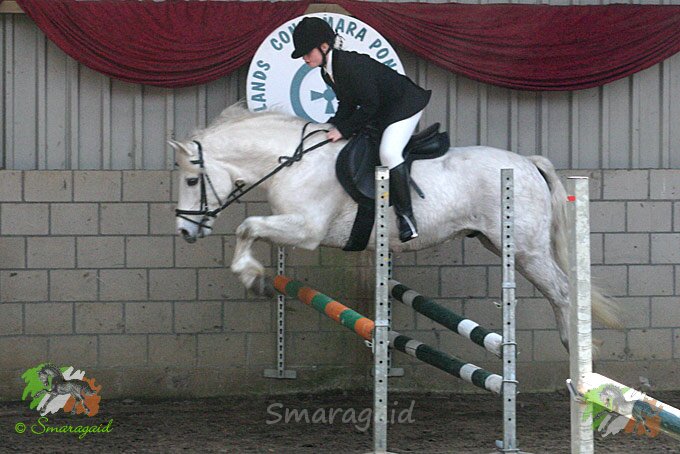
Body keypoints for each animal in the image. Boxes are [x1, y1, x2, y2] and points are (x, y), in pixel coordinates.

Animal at [169, 103, 620, 351]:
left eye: (191, 181)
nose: (185, 233)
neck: (294, 160)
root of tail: (527, 162)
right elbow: (250, 230)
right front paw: (259, 280)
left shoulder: (306, 229)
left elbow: (246, 227)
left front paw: (253, 278)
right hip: (500, 244)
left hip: (526, 251)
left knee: (562, 291)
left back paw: (575, 354)